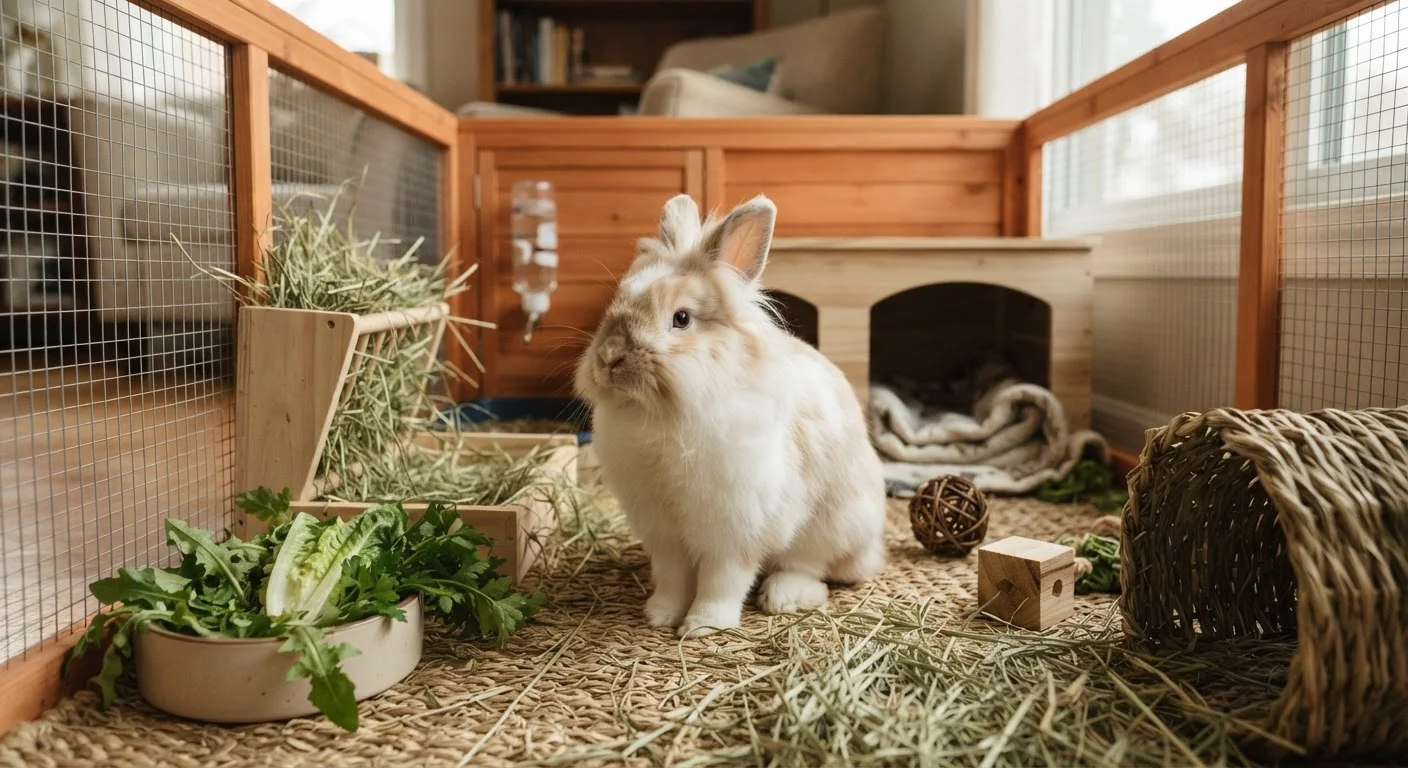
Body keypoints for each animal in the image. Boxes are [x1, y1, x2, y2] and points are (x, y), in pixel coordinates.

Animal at [574, 193, 888, 638]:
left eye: (682, 318)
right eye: (616, 303)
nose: (610, 358)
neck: (662, 415)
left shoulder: (733, 526)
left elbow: (723, 579)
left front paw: (703, 625)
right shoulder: (662, 531)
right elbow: (672, 577)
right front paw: (660, 615)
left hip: (835, 523)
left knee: (811, 566)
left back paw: (784, 596)